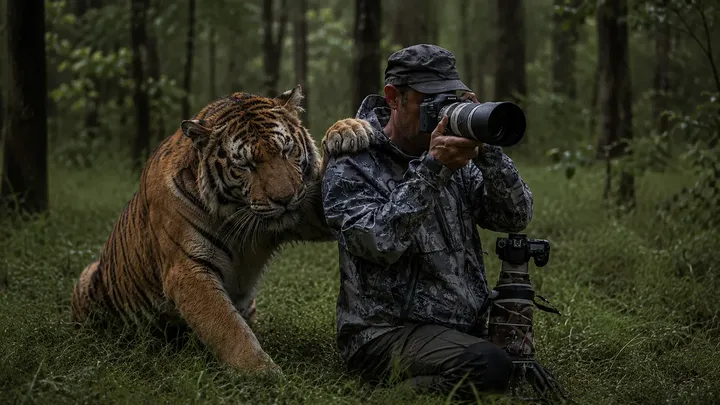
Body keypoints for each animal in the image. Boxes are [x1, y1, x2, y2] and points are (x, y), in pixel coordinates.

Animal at [70, 85, 375, 374]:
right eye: (245, 164)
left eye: (287, 150)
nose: (285, 199)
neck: (241, 214)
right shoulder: (187, 269)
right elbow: (225, 325)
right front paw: (262, 373)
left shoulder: (310, 209)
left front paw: (348, 129)